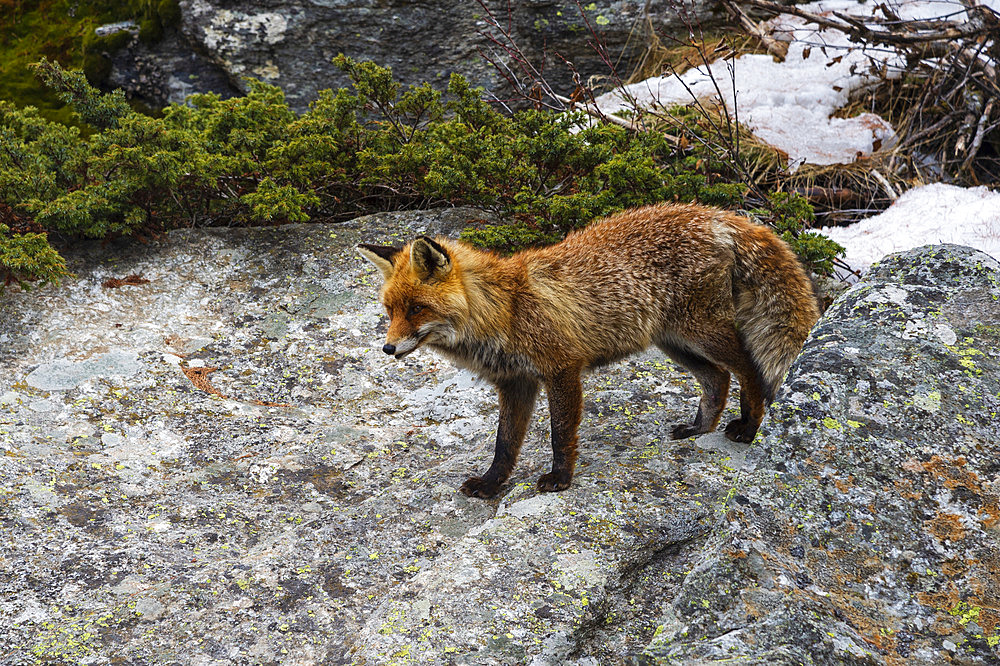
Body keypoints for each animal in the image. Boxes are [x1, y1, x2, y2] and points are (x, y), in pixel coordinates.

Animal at [360, 205, 820, 496]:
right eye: (389, 310)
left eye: (417, 308)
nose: (388, 348)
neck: (504, 310)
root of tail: (711, 213)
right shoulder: (516, 383)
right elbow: (505, 444)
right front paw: (492, 485)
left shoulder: (561, 368)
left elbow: (560, 434)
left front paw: (560, 480)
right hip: (675, 342)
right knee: (718, 378)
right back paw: (698, 430)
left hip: (703, 332)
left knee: (750, 370)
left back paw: (749, 426)